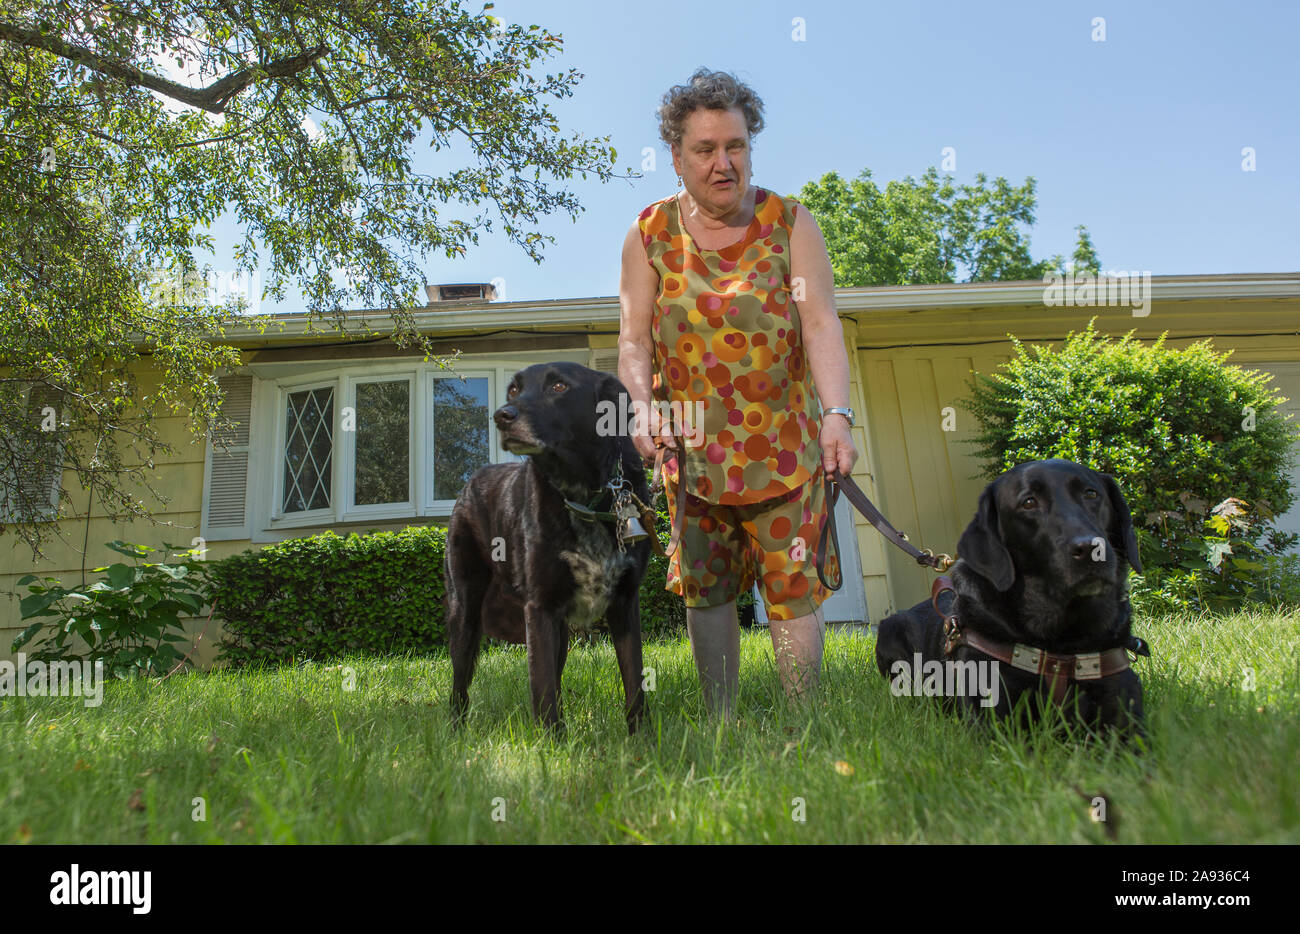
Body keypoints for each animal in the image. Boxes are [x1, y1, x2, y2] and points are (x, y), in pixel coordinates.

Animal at [444, 361, 650, 733]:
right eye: (514, 389)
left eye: (558, 386)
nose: (502, 415)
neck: (581, 491)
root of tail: (472, 480)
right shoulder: (540, 607)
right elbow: (541, 688)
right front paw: (551, 743)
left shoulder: (625, 603)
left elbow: (634, 682)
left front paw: (642, 739)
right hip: (464, 611)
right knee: (460, 685)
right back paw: (455, 732)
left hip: (560, 632)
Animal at [873, 457, 1149, 738]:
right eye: (1028, 502)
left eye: (1091, 493)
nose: (1090, 547)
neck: (1062, 641)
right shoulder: (993, 719)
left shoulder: (1125, 715)